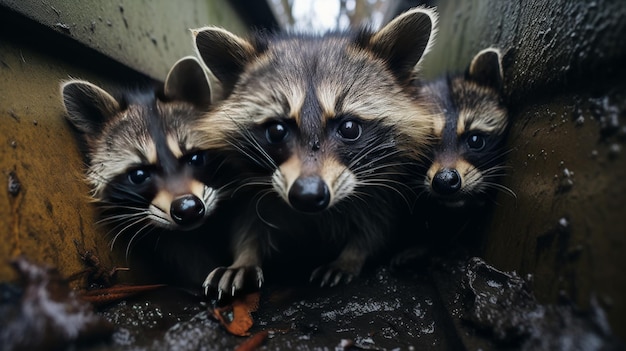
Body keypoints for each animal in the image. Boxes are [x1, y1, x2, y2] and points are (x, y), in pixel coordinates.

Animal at [193, 7, 436, 300]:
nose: (307, 195)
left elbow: (376, 226)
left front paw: (351, 257)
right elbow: (247, 221)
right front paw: (244, 257)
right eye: (276, 130)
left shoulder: (386, 185)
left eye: (349, 128)